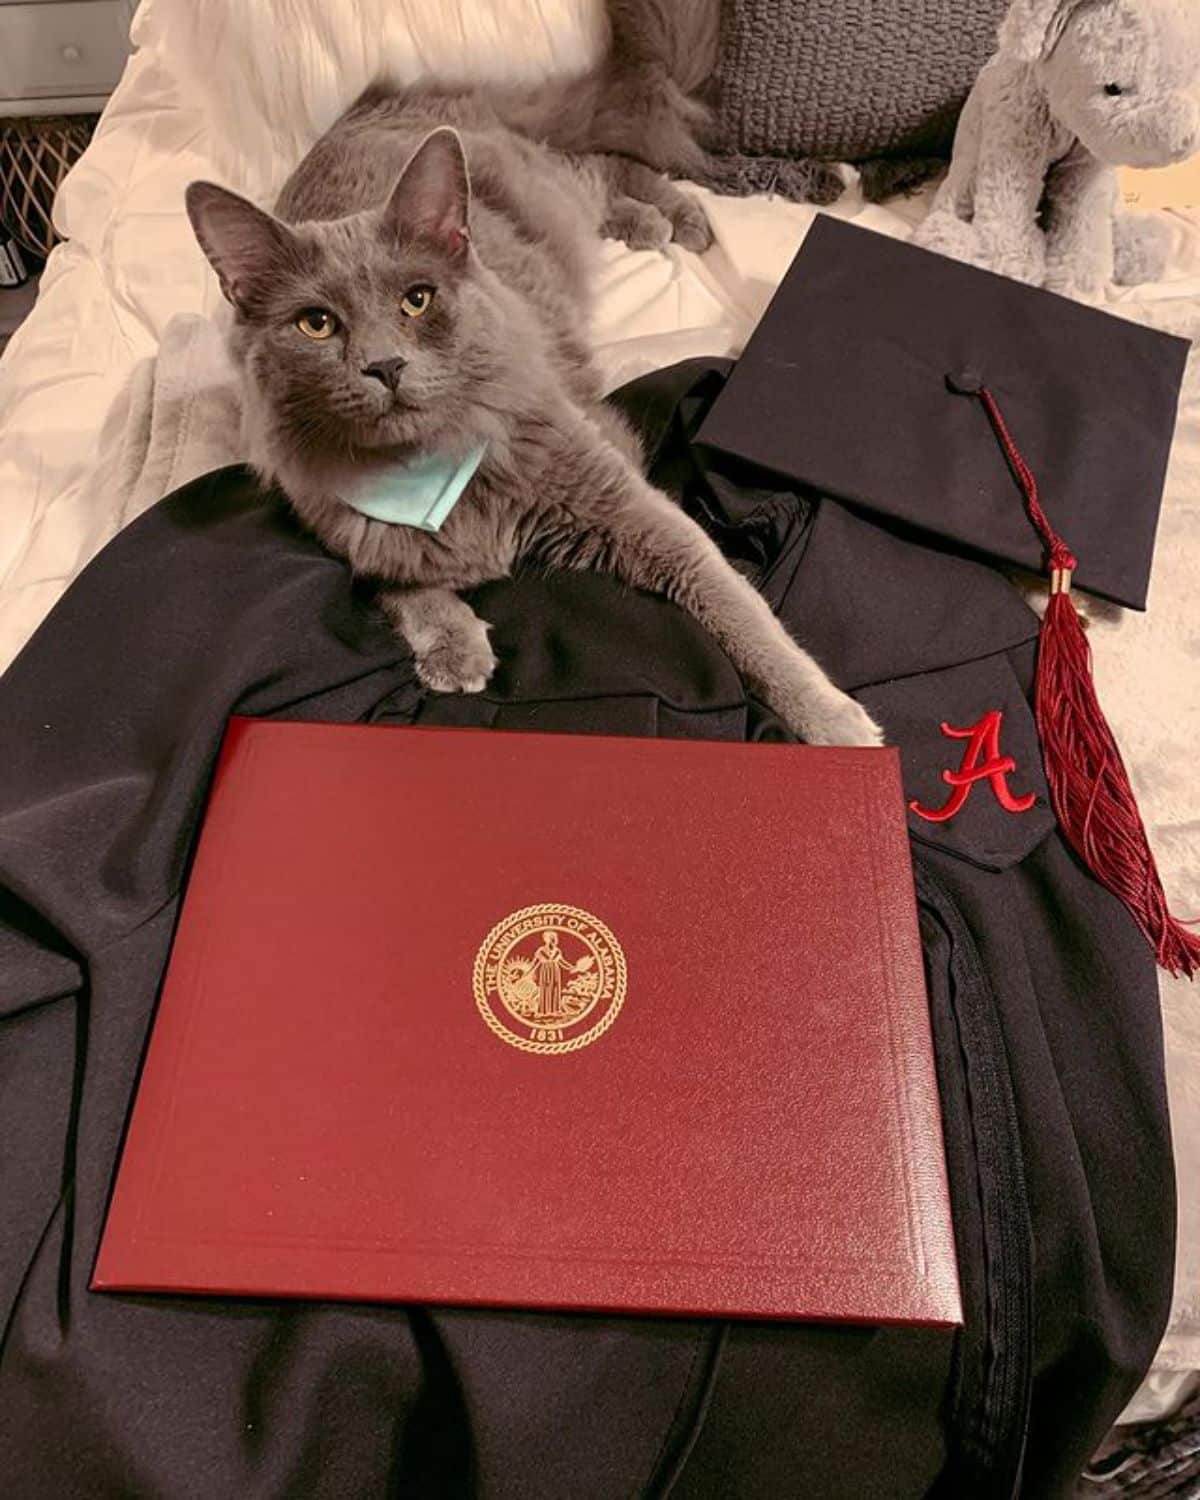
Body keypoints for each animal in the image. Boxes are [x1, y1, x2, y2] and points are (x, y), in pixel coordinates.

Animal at [187, 85, 882, 747]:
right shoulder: (342, 531)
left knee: (603, 163)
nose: (384, 365)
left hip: (552, 194)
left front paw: (834, 722)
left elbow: (740, 612)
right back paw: (650, 220)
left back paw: (675, 219)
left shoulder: (632, 506)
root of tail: (374, 105)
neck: (428, 468)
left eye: (417, 300)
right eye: (316, 324)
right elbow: (400, 585)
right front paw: (455, 647)